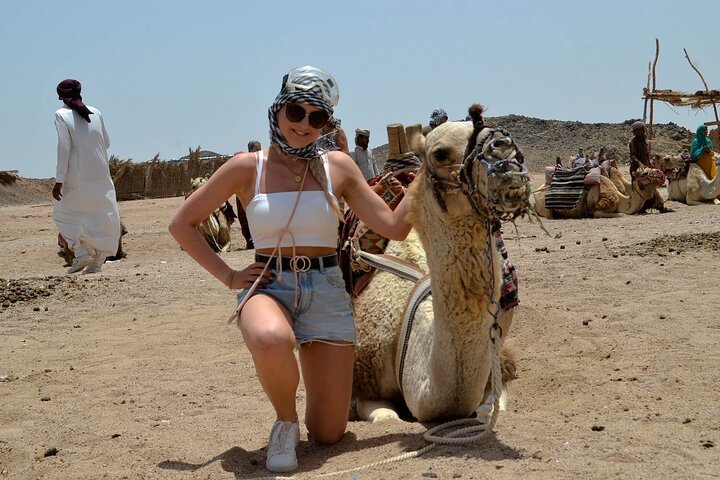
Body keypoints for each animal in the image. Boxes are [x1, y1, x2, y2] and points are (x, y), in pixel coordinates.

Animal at [352, 107, 531, 423]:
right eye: (440, 153)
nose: (503, 150)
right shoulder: (363, 376)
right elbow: (387, 417)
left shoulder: (498, 358)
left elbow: (494, 405)